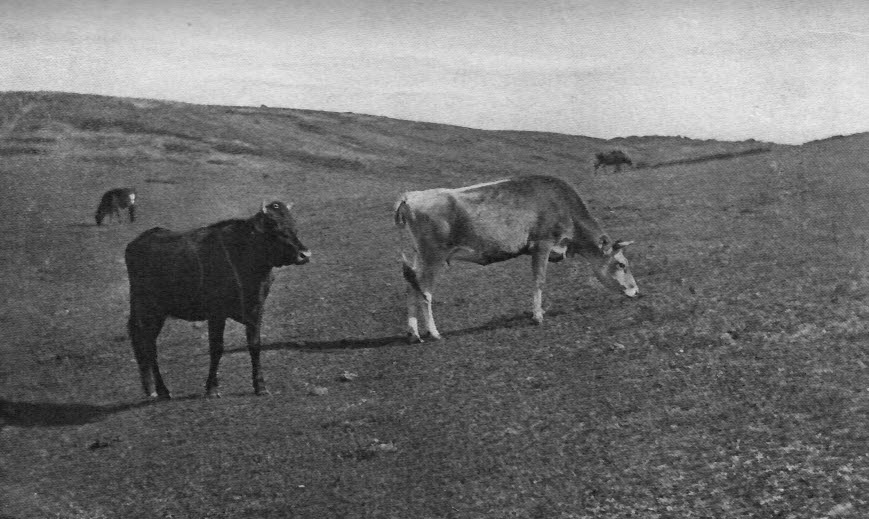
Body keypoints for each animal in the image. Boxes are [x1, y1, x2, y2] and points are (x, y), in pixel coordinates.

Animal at [124, 201, 311, 399]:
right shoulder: (216, 314)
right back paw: (162, 390)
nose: (305, 254)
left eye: (294, 226)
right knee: (149, 346)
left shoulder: (256, 310)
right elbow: (216, 348)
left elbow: (254, 345)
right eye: (273, 227)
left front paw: (260, 386)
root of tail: (137, 242)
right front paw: (212, 388)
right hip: (149, 310)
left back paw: (151, 388)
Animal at [394, 175, 638, 343]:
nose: (635, 290)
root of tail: (411, 196)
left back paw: (413, 333)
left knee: (410, 286)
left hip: (417, 256)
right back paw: (434, 332)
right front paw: (537, 316)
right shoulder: (542, 244)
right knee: (424, 291)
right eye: (621, 264)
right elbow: (539, 280)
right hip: (432, 256)